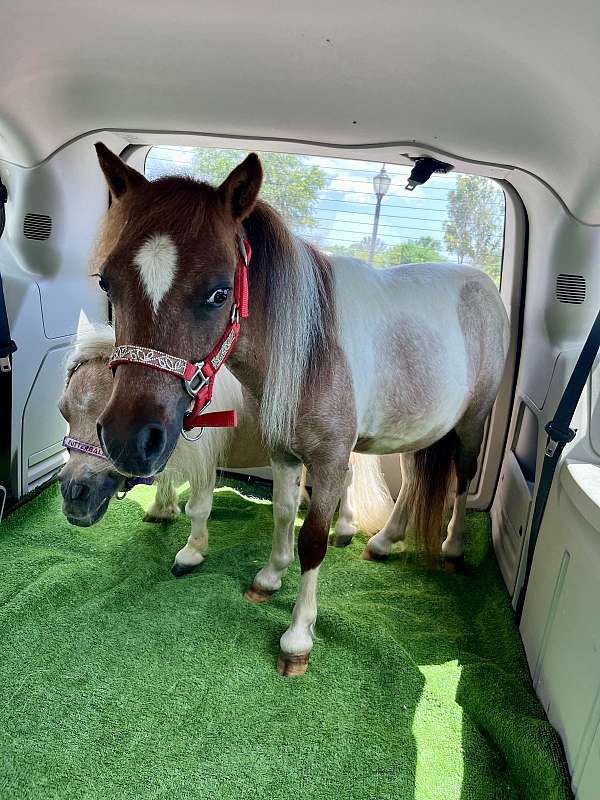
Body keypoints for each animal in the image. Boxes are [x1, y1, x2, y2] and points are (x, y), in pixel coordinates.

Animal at [91, 144, 508, 676]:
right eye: (108, 284)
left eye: (219, 293)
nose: (128, 439)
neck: (311, 349)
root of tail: (483, 285)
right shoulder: (283, 451)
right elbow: (284, 513)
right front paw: (269, 577)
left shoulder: (329, 462)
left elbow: (313, 539)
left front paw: (298, 636)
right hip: (419, 428)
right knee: (416, 481)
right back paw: (385, 541)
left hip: (471, 424)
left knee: (462, 478)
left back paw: (452, 547)